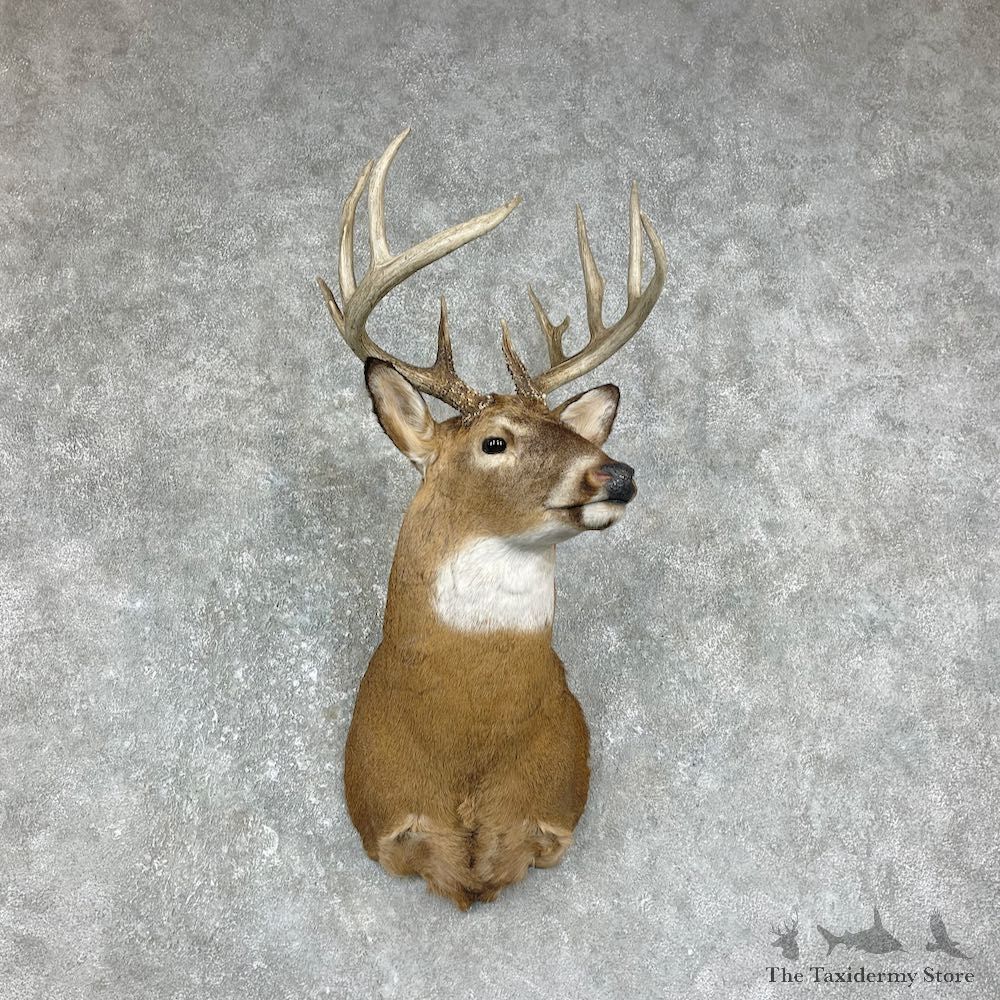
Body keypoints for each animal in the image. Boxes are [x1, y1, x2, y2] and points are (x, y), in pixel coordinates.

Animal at [318, 129, 667, 910]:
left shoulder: (553, 814)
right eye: (494, 442)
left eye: (574, 432)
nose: (617, 474)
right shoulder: (388, 822)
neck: (468, 751)